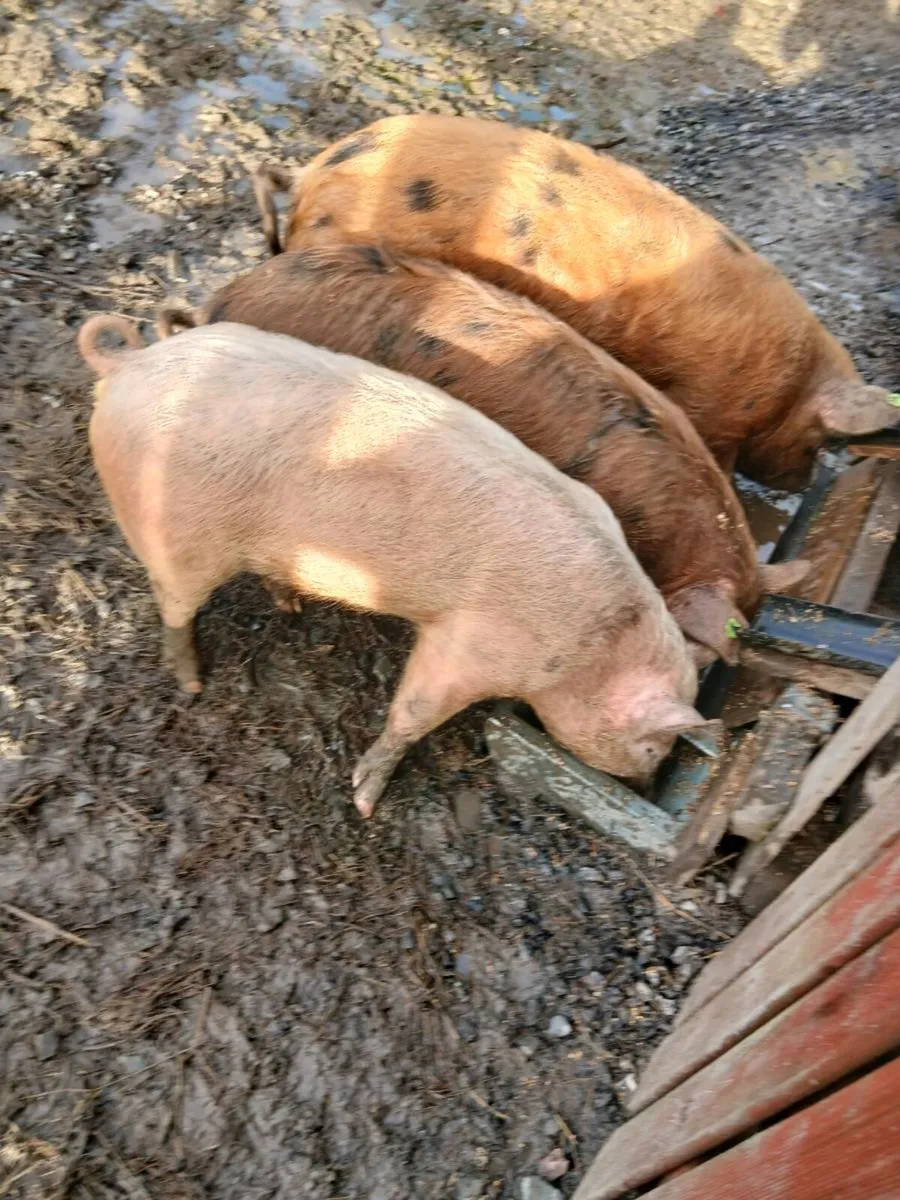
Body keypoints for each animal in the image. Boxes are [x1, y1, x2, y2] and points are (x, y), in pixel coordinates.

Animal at [78, 314, 710, 818]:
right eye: (654, 746)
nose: (649, 785)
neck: (599, 645)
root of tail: (131, 362)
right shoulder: (469, 645)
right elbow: (415, 708)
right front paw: (363, 803)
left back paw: (290, 602)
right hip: (177, 537)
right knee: (174, 604)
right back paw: (190, 682)